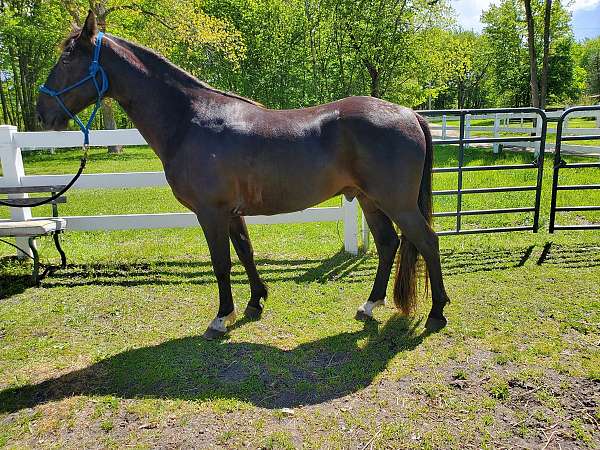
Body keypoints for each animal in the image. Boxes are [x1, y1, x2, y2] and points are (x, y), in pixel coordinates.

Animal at [36, 10, 450, 340]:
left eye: (68, 58)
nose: (43, 112)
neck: (190, 120)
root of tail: (410, 113)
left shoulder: (211, 212)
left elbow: (222, 263)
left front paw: (221, 318)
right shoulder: (232, 213)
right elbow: (246, 253)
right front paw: (255, 302)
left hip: (396, 203)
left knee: (427, 242)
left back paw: (436, 313)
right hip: (369, 199)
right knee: (388, 244)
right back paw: (370, 305)